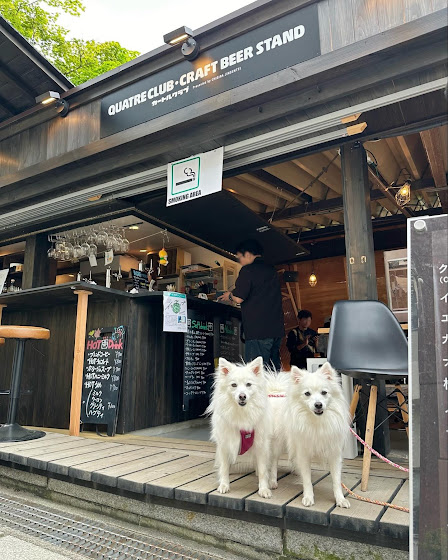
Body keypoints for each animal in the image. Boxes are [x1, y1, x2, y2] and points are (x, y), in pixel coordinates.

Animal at [206, 356, 272, 498]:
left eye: (248, 385)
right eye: (234, 385)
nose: (242, 396)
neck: (241, 413)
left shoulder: (260, 444)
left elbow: (263, 469)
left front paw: (264, 489)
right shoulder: (224, 445)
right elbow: (224, 467)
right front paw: (224, 485)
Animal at [276, 362, 351, 508]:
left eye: (324, 392)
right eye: (307, 393)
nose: (318, 404)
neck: (317, 422)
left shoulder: (334, 453)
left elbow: (336, 480)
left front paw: (340, 499)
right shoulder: (303, 453)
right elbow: (307, 479)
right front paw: (308, 497)